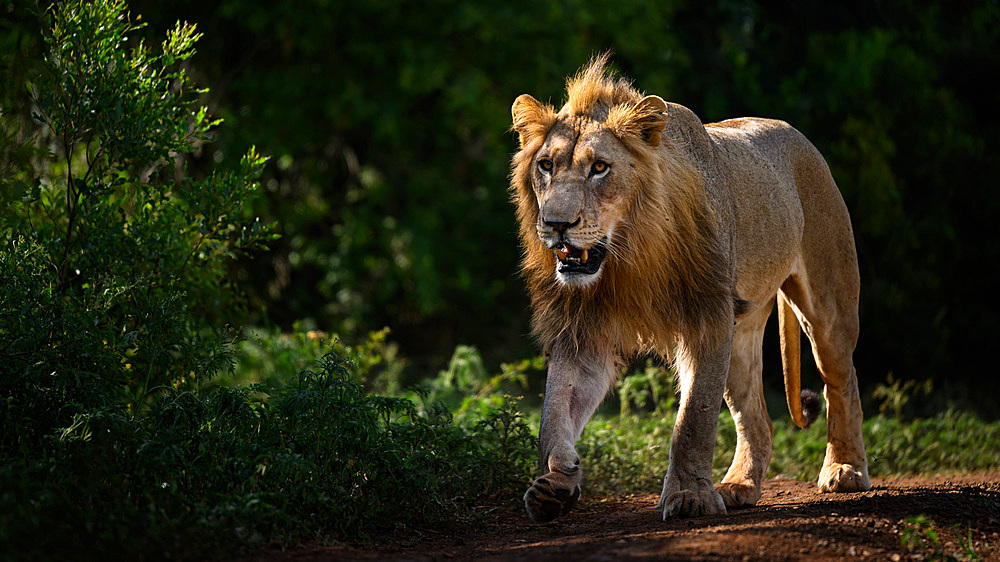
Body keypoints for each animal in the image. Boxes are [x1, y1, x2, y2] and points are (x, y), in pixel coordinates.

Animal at [508, 53, 868, 520]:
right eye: (546, 166)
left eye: (599, 167)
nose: (555, 224)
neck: (629, 257)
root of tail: (794, 132)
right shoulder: (583, 328)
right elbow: (555, 410)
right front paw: (555, 479)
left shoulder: (708, 315)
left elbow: (694, 418)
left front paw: (689, 496)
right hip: (743, 330)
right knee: (758, 420)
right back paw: (739, 486)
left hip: (827, 304)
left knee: (842, 381)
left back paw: (845, 470)